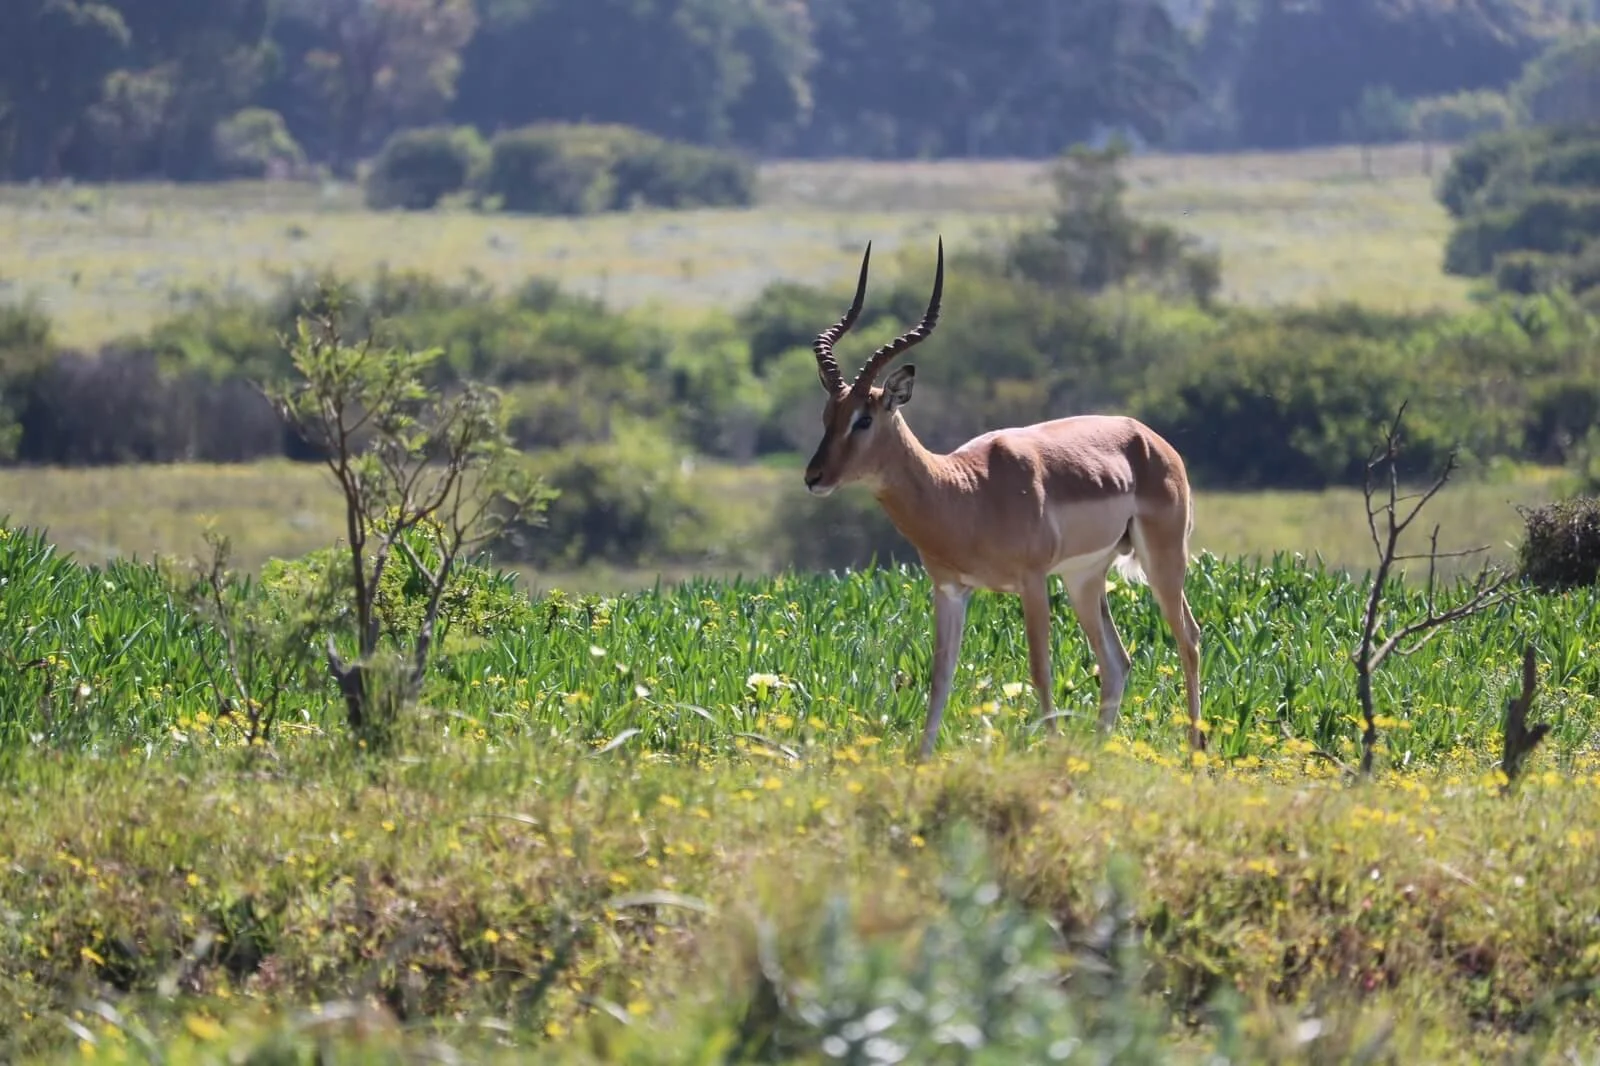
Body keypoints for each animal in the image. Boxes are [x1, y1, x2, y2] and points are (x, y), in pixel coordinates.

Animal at [802, 239, 1203, 760]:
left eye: (864, 419)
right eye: (827, 414)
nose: (814, 476)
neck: (965, 492)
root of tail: (1150, 437)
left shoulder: (1031, 582)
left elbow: (1040, 670)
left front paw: (1050, 751)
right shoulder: (950, 589)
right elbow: (940, 676)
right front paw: (922, 761)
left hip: (1162, 560)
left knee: (1188, 638)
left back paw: (1196, 751)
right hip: (1084, 578)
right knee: (1117, 661)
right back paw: (1095, 754)